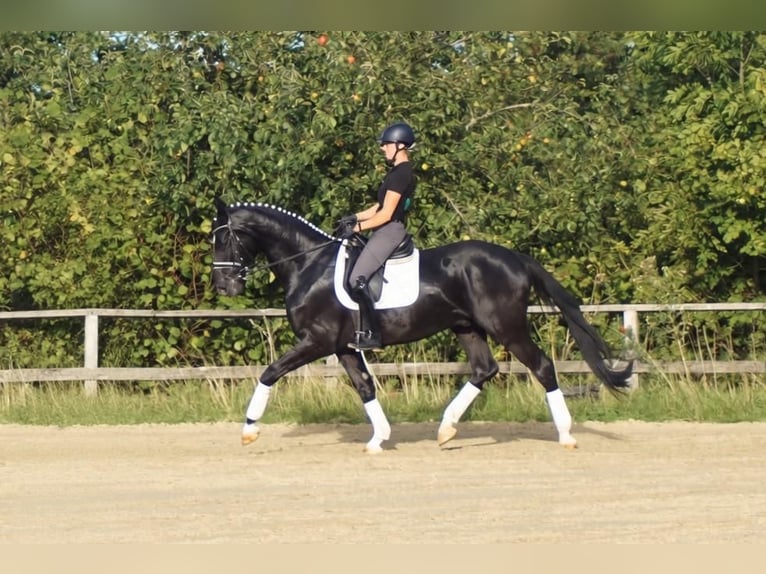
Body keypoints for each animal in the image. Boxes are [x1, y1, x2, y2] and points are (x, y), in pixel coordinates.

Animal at [211, 197, 632, 453]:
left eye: (224, 239)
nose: (224, 286)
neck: (309, 264)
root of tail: (515, 258)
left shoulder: (317, 340)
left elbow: (270, 372)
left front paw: (249, 430)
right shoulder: (343, 345)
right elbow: (364, 386)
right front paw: (378, 440)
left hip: (507, 327)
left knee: (542, 367)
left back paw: (565, 435)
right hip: (466, 327)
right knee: (485, 369)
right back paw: (445, 430)